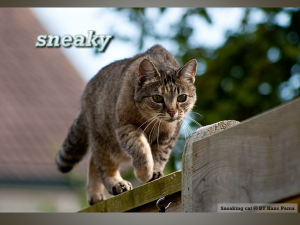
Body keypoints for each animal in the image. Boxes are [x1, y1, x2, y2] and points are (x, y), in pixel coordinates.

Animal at [55, 44, 198, 205]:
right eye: (157, 98)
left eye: (182, 97)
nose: (172, 112)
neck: (151, 121)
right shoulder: (126, 128)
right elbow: (141, 150)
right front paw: (144, 173)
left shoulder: (169, 134)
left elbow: (160, 155)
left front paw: (155, 171)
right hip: (104, 140)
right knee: (102, 165)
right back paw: (116, 184)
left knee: (93, 161)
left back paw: (95, 195)